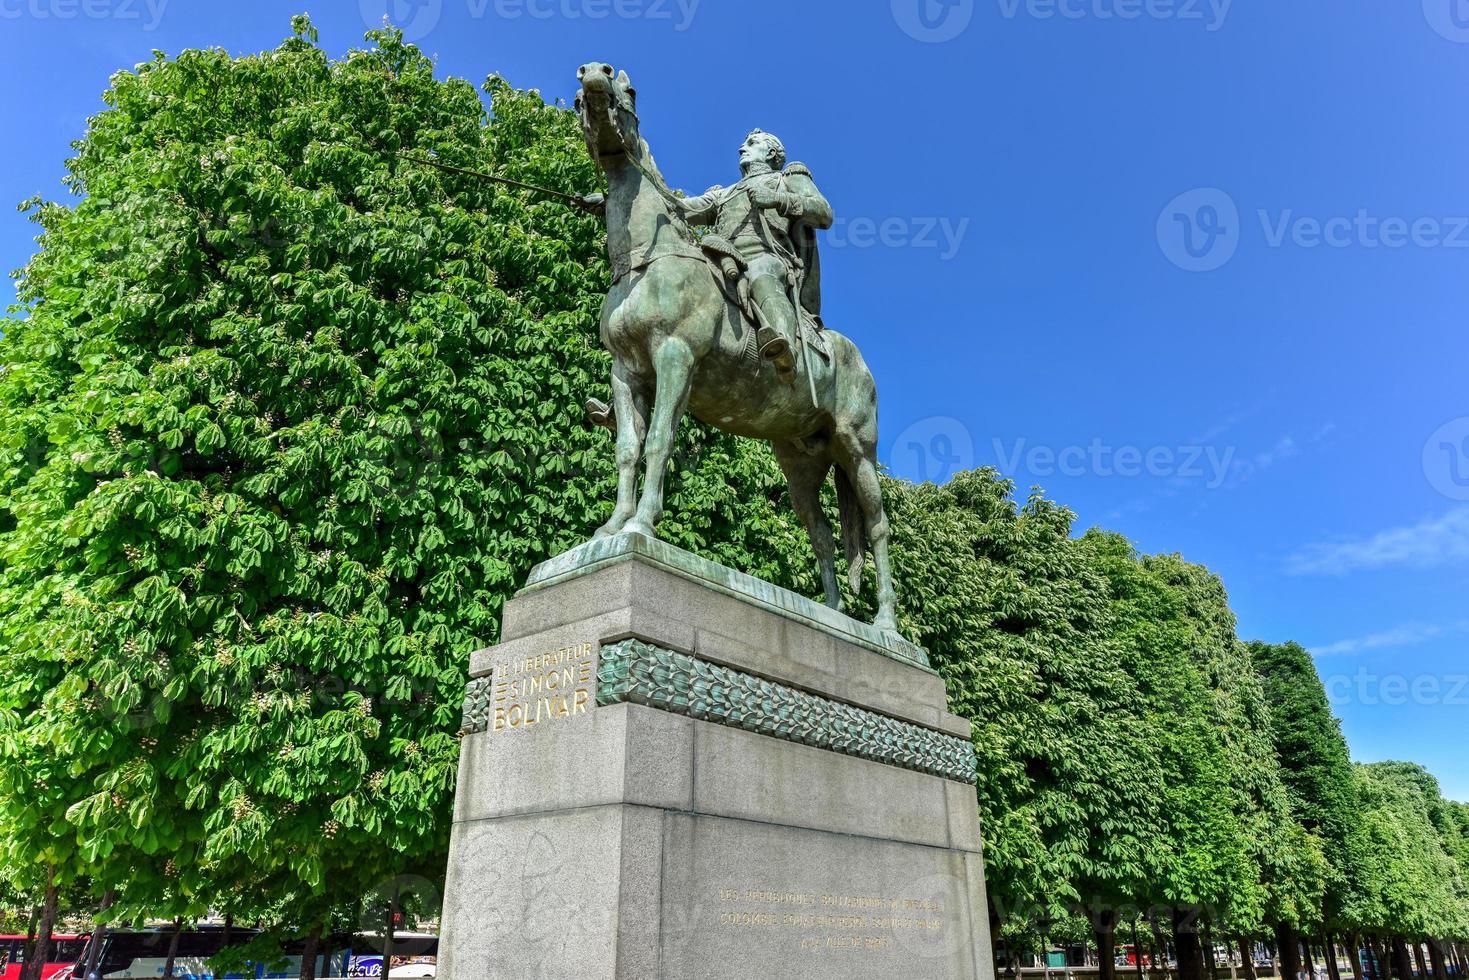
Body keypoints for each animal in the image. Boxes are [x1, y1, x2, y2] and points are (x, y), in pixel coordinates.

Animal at [578, 61, 899, 637]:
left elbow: (658, 441)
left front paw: (642, 525)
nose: (595, 77)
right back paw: (831, 614)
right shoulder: (626, 371)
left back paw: (884, 624)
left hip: (857, 449)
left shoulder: (675, 358)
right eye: (580, 94)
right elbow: (628, 449)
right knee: (821, 530)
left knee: (878, 525)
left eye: (629, 90)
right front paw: (611, 527)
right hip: (799, 459)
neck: (647, 262)